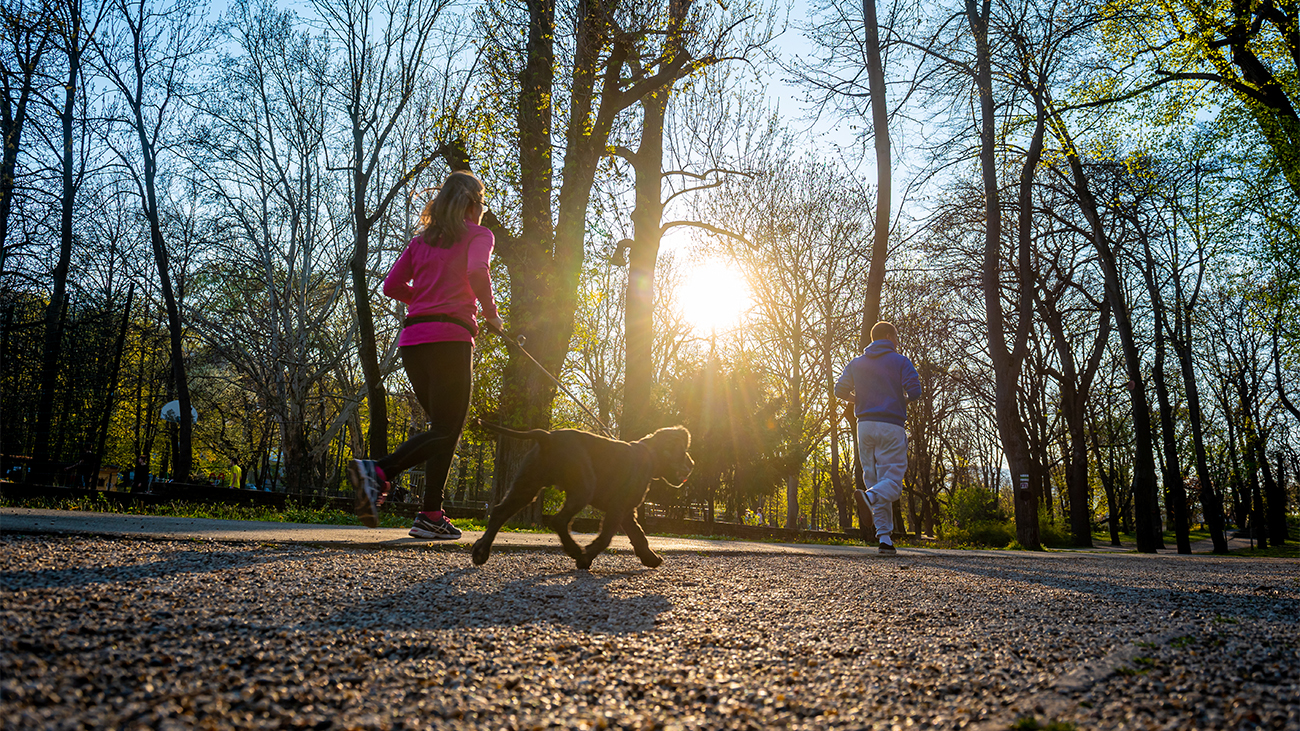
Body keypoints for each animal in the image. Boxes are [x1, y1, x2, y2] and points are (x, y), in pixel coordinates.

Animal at [467, 421, 691, 569]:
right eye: (683, 451)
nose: (693, 464)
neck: (651, 455)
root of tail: (548, 437)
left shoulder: (627, 511)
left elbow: (638, 535)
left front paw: (650, 558)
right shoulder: (618, 508)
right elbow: (607, 536)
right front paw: (586, 558)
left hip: (526, 486)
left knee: (499, 512)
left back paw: (480, 552)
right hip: (583, 488)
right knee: (558, 520)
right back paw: (575, 550)